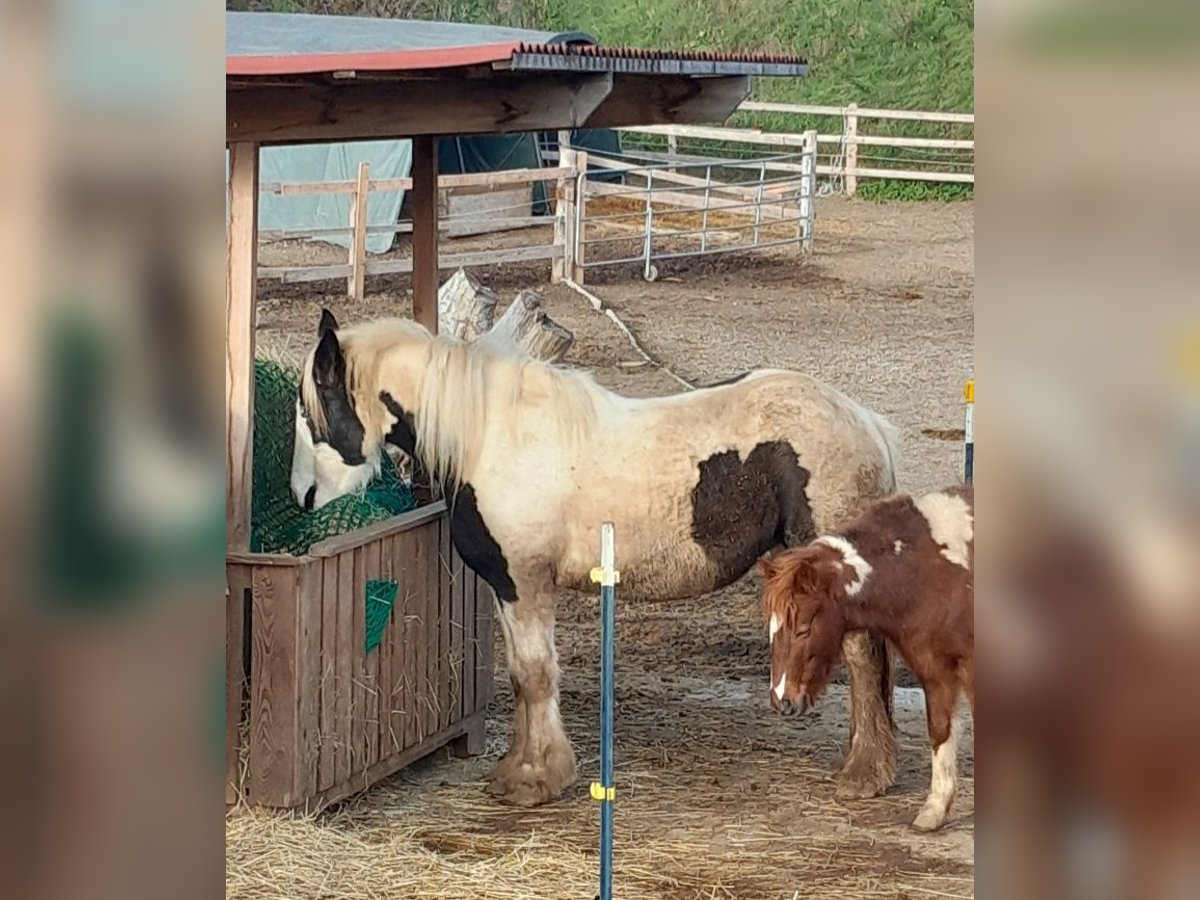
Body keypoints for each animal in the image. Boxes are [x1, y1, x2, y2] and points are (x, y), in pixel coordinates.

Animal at [295, 312, 902, 811]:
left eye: (312, 411)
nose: (303, 499)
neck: (492, 436)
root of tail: (866, 421)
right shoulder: (506, 587)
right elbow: (520, 677)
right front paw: (518, 769)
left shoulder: (526, 584)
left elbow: (536, 675)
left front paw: (536, 780)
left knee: (863, 658)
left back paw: (864, 774)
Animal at [763, 489, 969, 835]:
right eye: (771, 628)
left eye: (803, 628)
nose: (783, 701)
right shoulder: (936, 669)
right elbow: (940, 730)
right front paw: (934, 811)